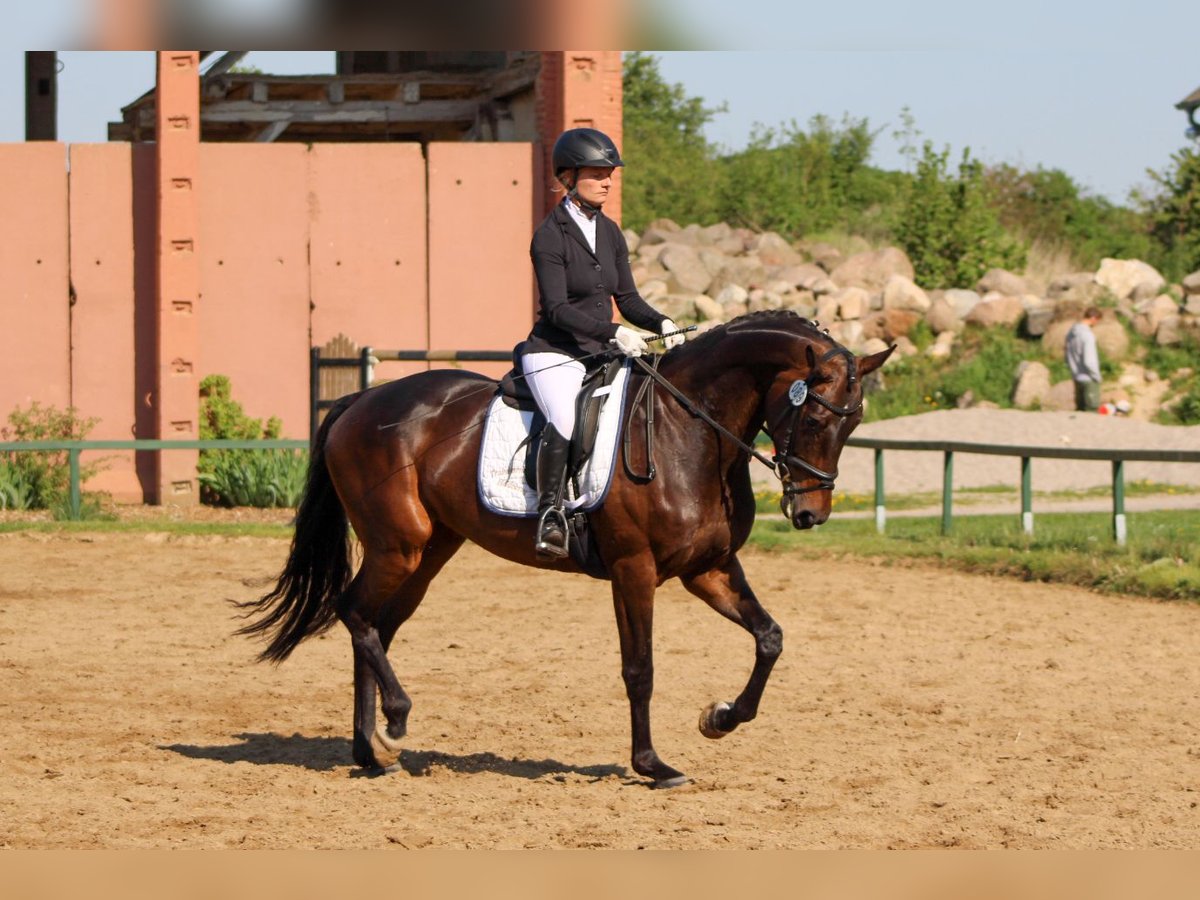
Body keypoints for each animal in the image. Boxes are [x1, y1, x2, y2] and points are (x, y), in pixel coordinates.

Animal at [238, 312, 892, 787]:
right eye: (814, 417)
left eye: (853, 424)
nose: (809, 515)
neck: (690, 432)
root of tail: (359, 403)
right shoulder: (634, 569)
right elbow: (640, 669)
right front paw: (653, 765)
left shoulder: (708, 569)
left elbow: (769, 637)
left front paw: (720, 719)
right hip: (397, 546)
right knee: (355, 614)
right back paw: (395, 721)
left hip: (428, 552)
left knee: (375, 625)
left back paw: (374, 751)